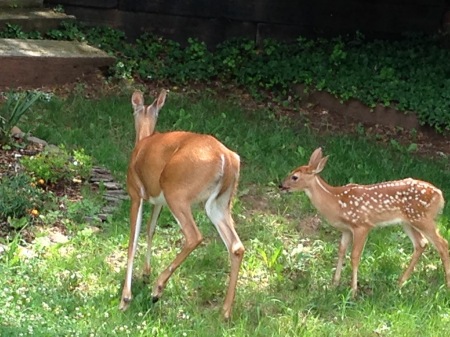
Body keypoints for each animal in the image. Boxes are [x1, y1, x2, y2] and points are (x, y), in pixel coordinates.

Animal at [119, 89, 244, 318]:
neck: (144, 139)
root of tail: (226, 158)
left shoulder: (135, 193)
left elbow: (133, 239)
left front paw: (126, 297)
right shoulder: (157, 201)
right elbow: (150, 229)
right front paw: (145, 273)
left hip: (177, 193)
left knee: (194, 236)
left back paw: (158, 289)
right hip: (220, 202)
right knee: (236, 246)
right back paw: (225, 311)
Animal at [282, 147, 450, 294]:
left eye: (294, 177)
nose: (280, 185)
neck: (335, 201)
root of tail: (440, 196)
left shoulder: (362, 225)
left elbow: (355, 256)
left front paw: (353, 290)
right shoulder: (346, 229)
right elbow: (341, 251)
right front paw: (334, 284)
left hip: (422, 218)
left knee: (442, 244)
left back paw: (446, 286)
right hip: (408, 222)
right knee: (421, 244)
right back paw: (400, 283)